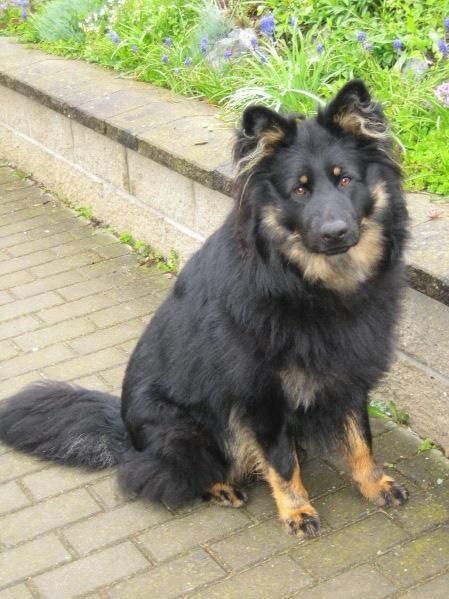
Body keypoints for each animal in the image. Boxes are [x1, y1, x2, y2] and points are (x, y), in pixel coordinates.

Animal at [0, 79, 409, 538]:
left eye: (345, 180)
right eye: (300, 189)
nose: (335, 232)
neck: (305, 284)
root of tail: (127, 435)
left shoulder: (350, 371)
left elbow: (360, 439)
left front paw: (375, 484)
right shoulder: (259, 395)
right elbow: (283, 463)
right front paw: (297, 511)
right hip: (191, 430)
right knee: (154, 474)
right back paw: (218, 487)